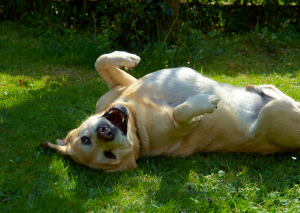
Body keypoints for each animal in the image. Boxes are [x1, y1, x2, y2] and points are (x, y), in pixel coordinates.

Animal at [40, 50, 300, 172]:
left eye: (85, 138)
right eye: (109, 156)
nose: (105, 132)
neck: (136, 116)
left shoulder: (119, 88)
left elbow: (101, 61)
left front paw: (127, 58)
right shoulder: (176, 126)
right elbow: (180, 115)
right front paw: (205, 103)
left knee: (272, 90)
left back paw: (260, 87)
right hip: (274, 113)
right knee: (283, 103)